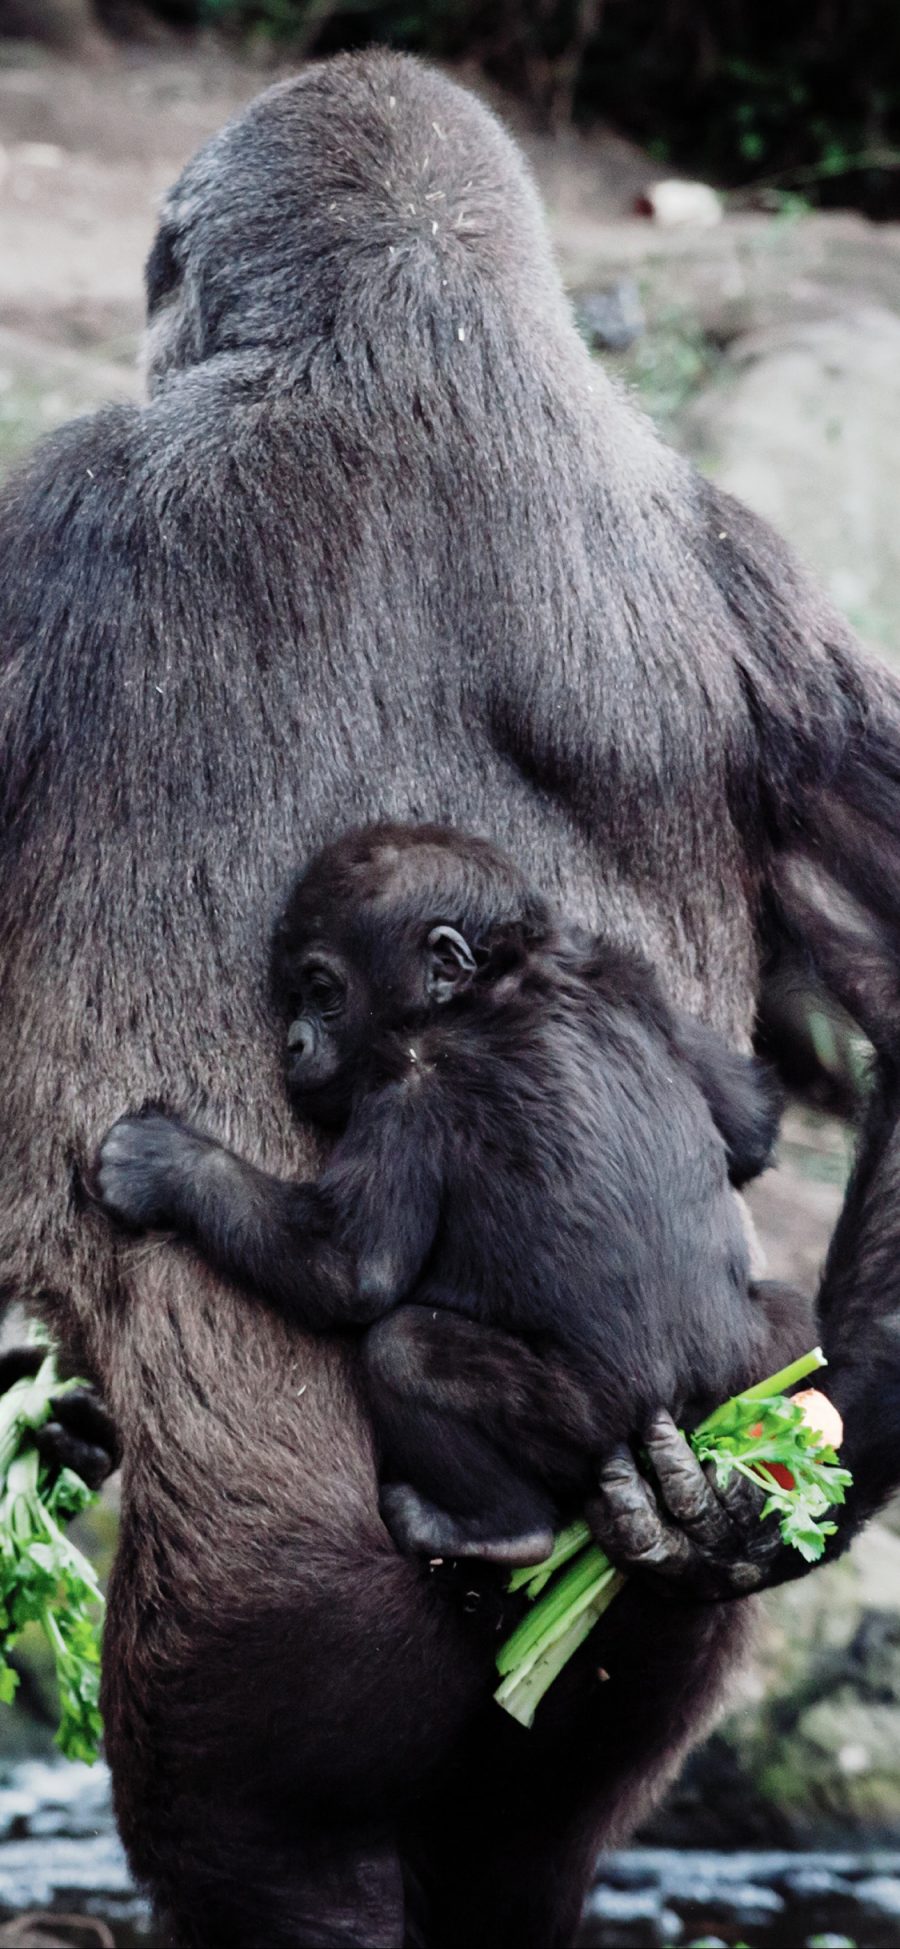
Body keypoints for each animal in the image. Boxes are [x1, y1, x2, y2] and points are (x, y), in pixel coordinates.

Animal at [94, 822, 790, 1566]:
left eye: (321, 989)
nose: (293, 1043)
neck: (492, 981)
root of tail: (682, 1411)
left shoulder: (408, 1083)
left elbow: (350, 1271)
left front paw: (164, 1163)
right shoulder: (621, 970)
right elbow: (751, 1122)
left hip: (587, 1416)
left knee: (405, 1350)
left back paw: (498, 1528)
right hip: (742, 1379)